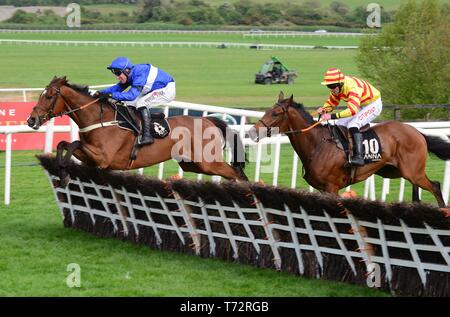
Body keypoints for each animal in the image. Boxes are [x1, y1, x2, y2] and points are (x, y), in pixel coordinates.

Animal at [26, 77, 248, 184]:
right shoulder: (93, 158)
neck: (99, 119)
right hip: (192, 164)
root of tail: (209, 120)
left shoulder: (103, 157)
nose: (31, 120)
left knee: (235, 173)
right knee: (231, 173)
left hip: (207, 161)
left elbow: (73, 143)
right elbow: (63, 143)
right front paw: (61, 171)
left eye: (48, 96)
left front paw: (63, 173)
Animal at [248, 92, 450, 207]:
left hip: (412, 171)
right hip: (395, 171)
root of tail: (418, 132)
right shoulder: (323, 189)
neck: (317, 144)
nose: (252, 131)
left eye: (276, 113)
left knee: (435, 186)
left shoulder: (332, 188)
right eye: (267, 110)